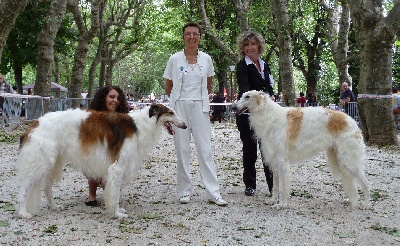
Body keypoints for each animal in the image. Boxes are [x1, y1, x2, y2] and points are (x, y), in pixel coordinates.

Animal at [16, 103, 188, 218]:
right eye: (171, 112)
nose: (185, 125)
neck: (139, 125)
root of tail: (34, 124)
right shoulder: (117, 167)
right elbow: (115, 193)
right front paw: (117, 213)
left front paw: (118, 211)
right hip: (40, 163)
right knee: (24, 188)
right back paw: (23, 213)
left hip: (52, 162)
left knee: (47, 187)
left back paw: (54, 206)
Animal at [233, 90, 370, 208]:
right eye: (241, 95)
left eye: (247, 96)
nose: (234, 108)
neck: (269, 115)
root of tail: (352, 121)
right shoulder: (274, 161)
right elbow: (275, 186)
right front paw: (272, 200)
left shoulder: (282, 161)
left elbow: (282, 187)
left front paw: (281, 204)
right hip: (341, 159)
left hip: (348, 159)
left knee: (365, 182)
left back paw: (366, 203)